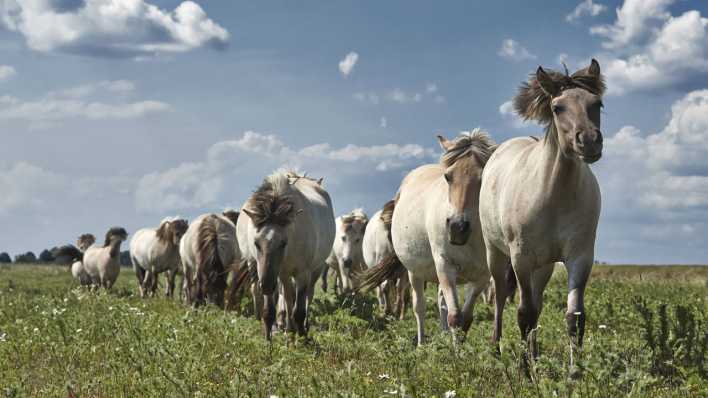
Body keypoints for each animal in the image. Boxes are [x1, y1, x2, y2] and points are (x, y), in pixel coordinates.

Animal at [236, 169, 336, 340]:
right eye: (256, 243)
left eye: (283, 243)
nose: (266, 285)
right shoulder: (271, 273)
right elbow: (270, 310)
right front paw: (268, 339)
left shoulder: (302, 273)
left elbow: (299, 310)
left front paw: (302, 338)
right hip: (281, 274)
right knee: (288, 297)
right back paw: (288, 327)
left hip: (313, 270)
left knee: (307, 295)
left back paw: (299, 327)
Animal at [362, 132, 496, 344]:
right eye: (448, 177)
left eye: (483, 178)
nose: (457, 227)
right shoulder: (444, 265)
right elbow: (455, 317)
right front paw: (457, 351)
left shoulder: (482, 275)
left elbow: (465, 318)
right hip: (413, 272)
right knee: (419, 307)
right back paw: (421, 343)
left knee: (441, 302)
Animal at [482, 57, 608, 366]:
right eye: (557, 107)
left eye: (597, 104)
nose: (589, 141)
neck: (554, 196)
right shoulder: (521, 258)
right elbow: (524, 314)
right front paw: (525, 369)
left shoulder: (580, 257)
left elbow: (574, 317)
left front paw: (576, 371)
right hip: (497, 254)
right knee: (500, 298)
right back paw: (497, 348)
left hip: (544, 266)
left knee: (537, 303)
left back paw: (536, 353)